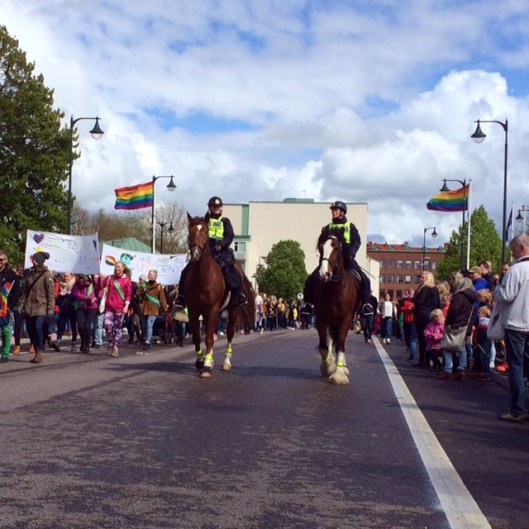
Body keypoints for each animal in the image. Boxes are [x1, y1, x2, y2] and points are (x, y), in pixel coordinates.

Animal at [184, 213, 256, 378]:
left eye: (205, 232)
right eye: (190, 232)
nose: (195, 255)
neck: (202, 277)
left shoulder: (212, 309)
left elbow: (209, 339)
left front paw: (206, 368)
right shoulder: (193, 310)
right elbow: (197, 337)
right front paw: (200, 362)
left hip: (232, 309)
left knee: (229, 333)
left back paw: (226, 362)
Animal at [313, 229, 361, 384]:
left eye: (335, 248)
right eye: (321, 247)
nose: (324, 274)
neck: (335, 287)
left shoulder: (345, 319)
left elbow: (340, 345)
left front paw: (339, 374)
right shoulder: (321, 319)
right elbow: (324, 346)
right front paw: (328, 367)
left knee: (340, 342)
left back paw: (343, 367)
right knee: (331, 341)